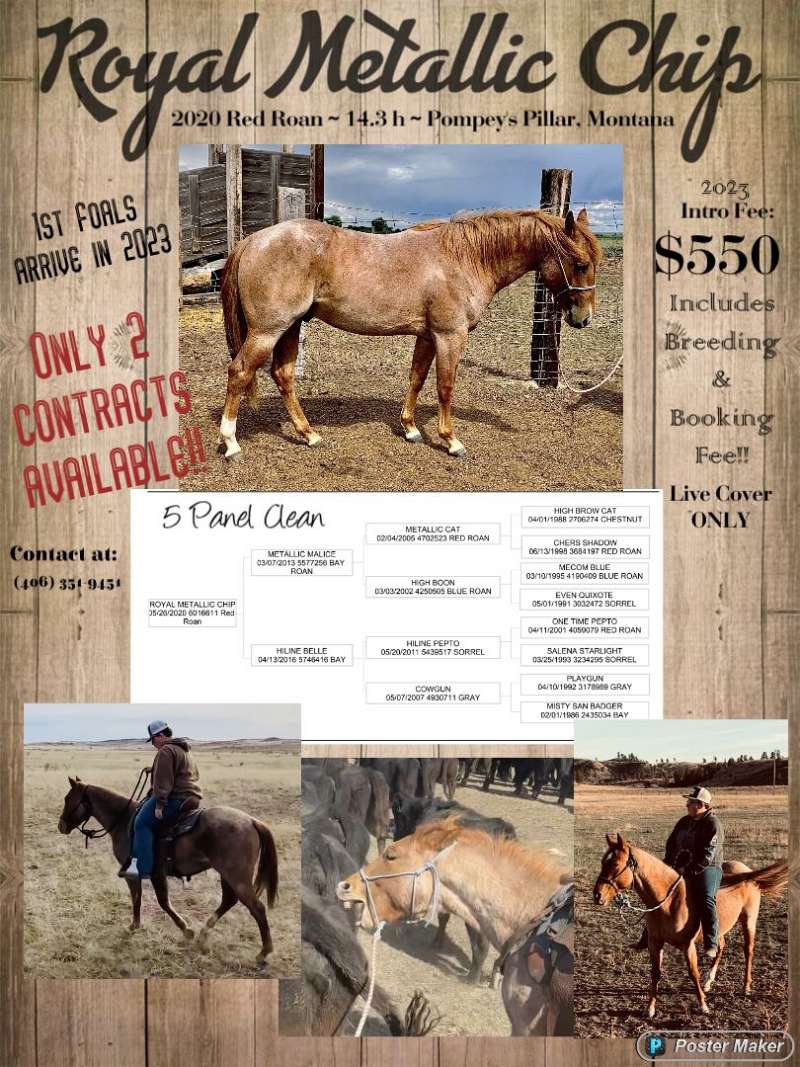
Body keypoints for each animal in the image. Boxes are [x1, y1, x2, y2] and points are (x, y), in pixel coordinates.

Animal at [58, 775, 279, 962]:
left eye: (68, 798)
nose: (61, 826)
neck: (124, 820)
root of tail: (251, 821)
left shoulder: (136, 874)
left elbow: (148, 900)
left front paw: (141, 927)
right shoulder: (159, 873)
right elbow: (160, 900)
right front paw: (186, 930)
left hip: (237, 876)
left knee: (257, 908)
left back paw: (264, 952)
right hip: (227, 874)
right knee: (229, 901)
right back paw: (204, 933)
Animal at [217, 208, 601, 461]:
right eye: (580, 263)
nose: (583, 319)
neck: (464, 258)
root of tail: (253, 241)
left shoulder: (428, 336)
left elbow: (416, 378)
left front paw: (411, 428)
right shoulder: (450, 335)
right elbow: (445, 387)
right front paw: (450, 440)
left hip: (290, 327)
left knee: (283, 376)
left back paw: (309, 435)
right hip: (268, 330)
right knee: (239, 372)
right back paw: (232, 443)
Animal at [593, 832, 789, 1017]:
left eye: (615, 864)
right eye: (602, 862)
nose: (597, 895)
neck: (669, 900)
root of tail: (747, 872)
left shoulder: (688, 945)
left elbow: (693, 973)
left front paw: (703, 1006)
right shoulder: (655, 943)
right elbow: (655, 973)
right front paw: (649, 1009)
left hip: (748, 920)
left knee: (748, 951)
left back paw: (746, 987)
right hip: (718, 929)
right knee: (720, 947)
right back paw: (709, 981)